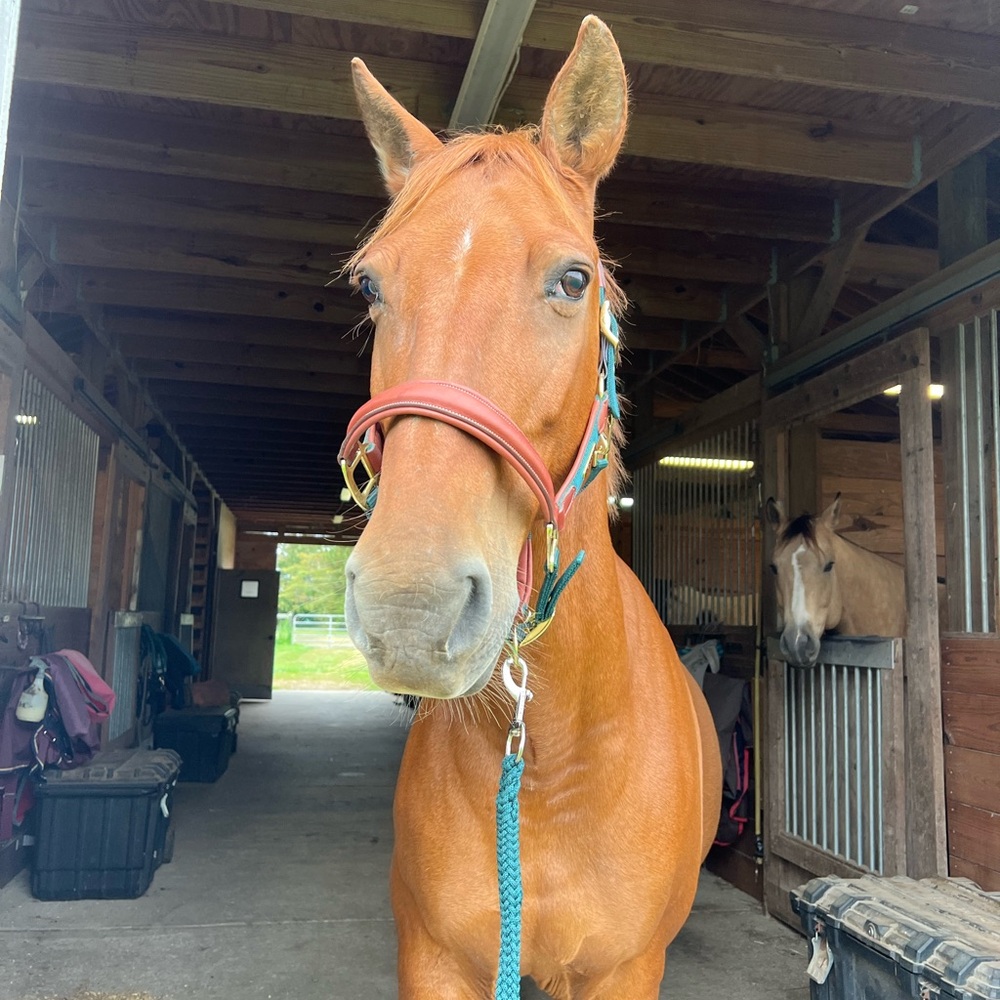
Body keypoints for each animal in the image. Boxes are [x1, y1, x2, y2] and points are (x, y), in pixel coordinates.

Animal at [338, 17, 722, 999]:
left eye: (574, 279)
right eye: (371, 287)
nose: (410, 607)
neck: (546, 759)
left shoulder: (626, 970)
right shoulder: (434, 959)